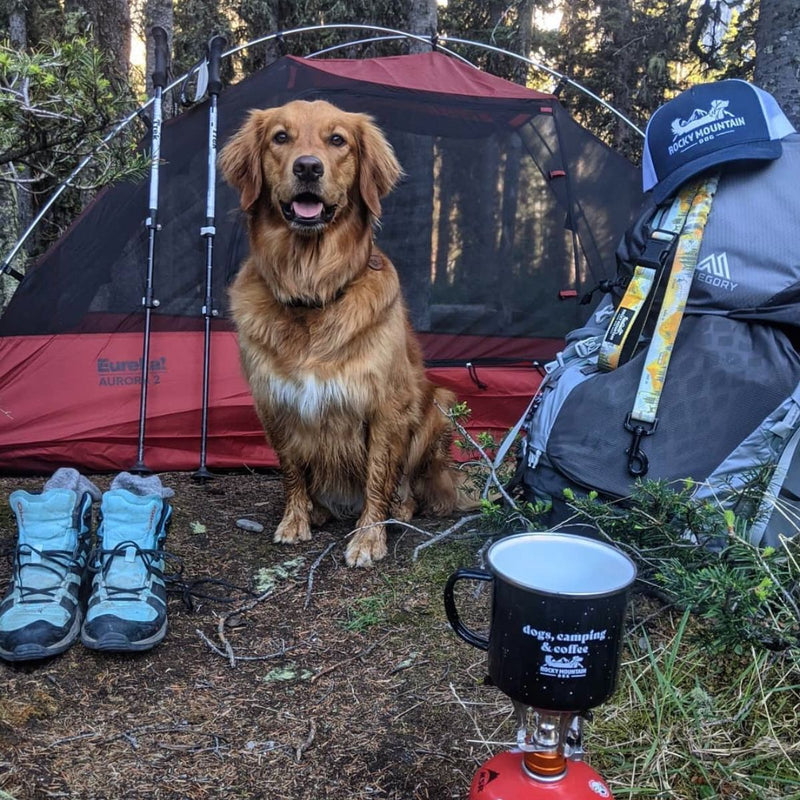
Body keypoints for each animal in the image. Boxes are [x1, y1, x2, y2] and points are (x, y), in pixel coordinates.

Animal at [222, 100, 466, 564]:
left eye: (338, 140)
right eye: (281, 137)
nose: (307, 167)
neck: (312, 289)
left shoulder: (385, 404)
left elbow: (377, 475)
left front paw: (369, 538)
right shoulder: (273, 401)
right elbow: (291, 470)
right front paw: (295, 520)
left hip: (439, 404)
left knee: (408, 482)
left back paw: (400, 507)